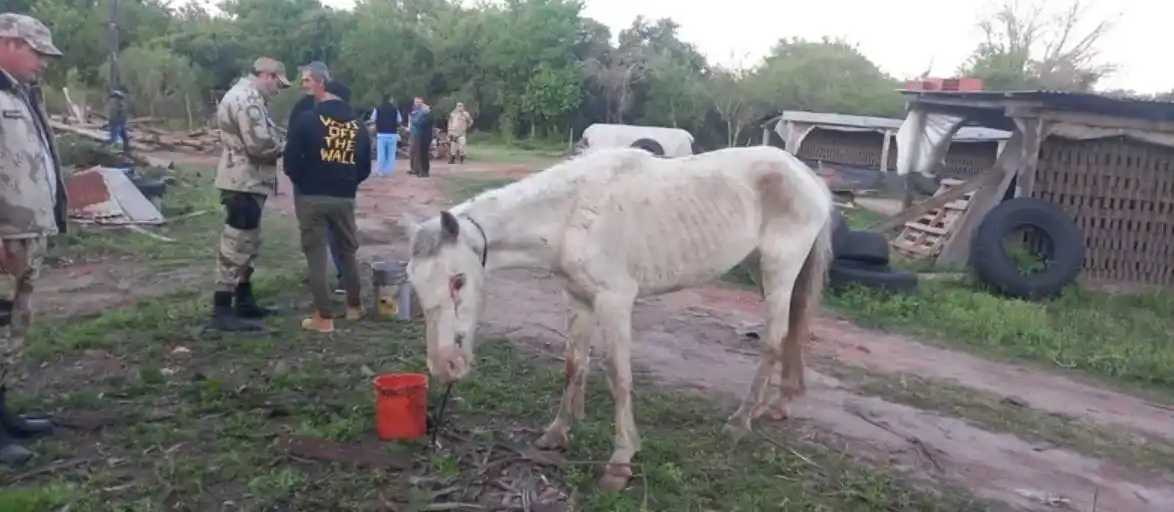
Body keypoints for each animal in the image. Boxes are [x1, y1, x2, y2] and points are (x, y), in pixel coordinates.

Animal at [401, 145, 834, 491]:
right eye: (416, 284)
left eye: (458, 279)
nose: (446, 365)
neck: (571, 216)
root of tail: (808, 176)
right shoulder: (577, 299)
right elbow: (574, 364)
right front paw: (556, 433)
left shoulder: (615, 301)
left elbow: (618, 375)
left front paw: (620, 461)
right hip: (762, 270)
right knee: (791, 332)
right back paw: (778, 405)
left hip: (779, 271)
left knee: (773, 340)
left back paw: (741, 421)